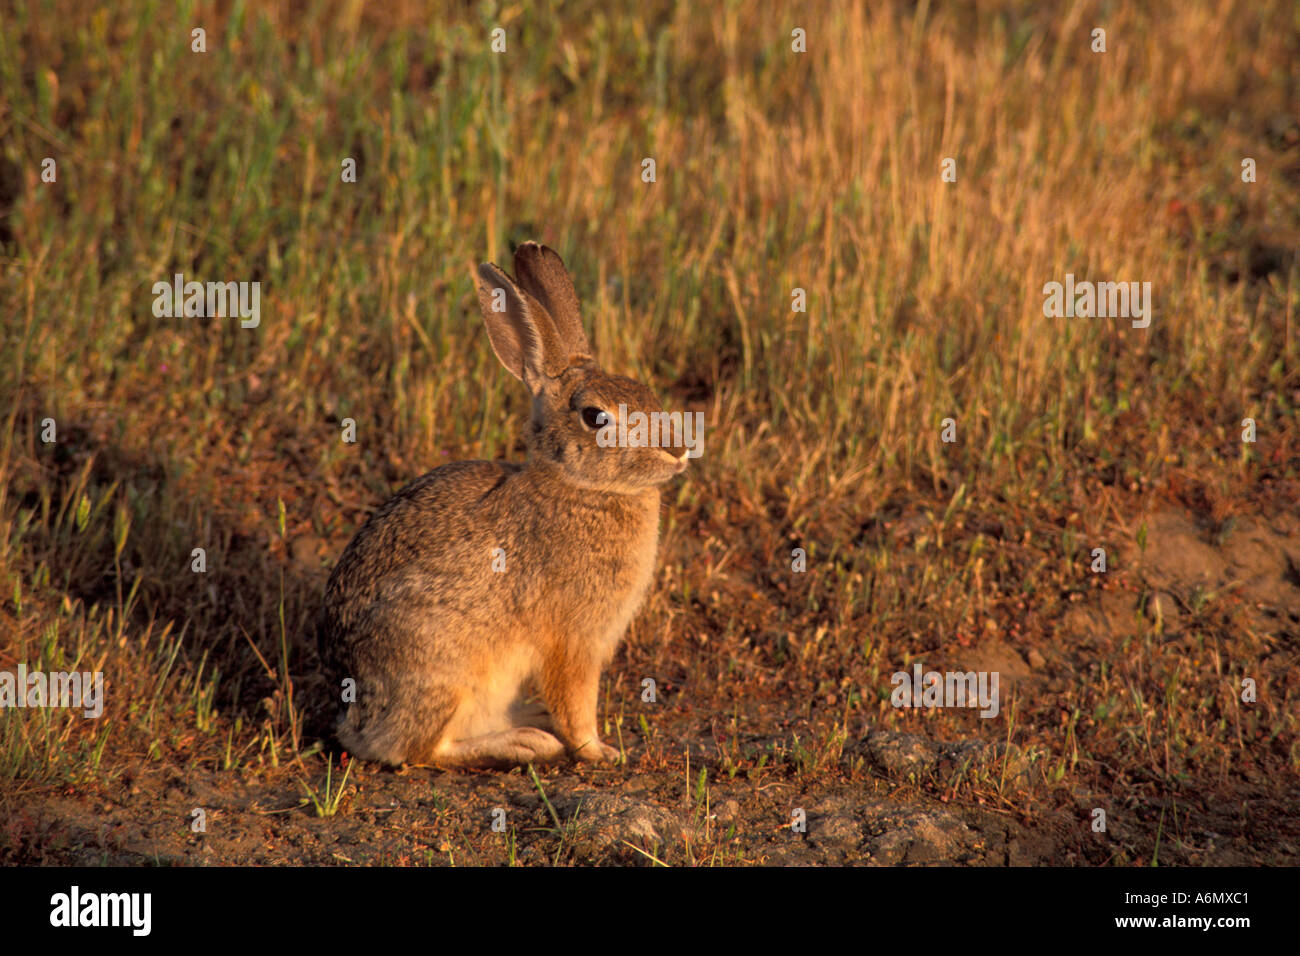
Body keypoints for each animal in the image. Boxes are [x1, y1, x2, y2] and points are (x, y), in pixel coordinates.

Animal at [317, 242, 689, 769]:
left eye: (648, 393)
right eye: (596, 417)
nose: (678, 450)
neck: (580, 487)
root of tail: (354, 720)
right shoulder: (573, 639)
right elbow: (576, 702)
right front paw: (601, 751)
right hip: (445, 666)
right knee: (421, 749)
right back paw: (525, 742)